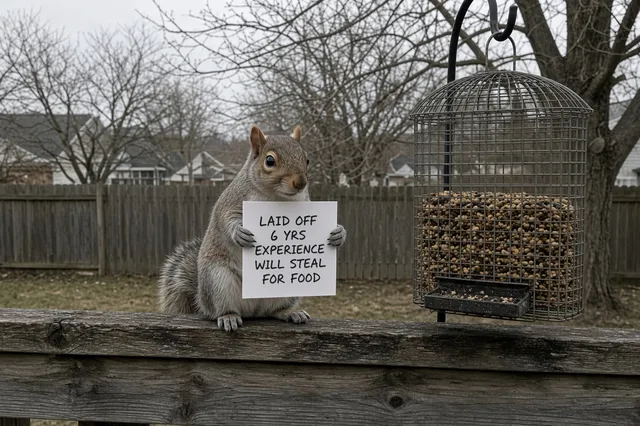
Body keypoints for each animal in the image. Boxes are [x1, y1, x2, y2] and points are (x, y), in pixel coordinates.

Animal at [157, 125, 347, 332]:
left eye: (307, 159)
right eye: (270, 161)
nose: (300, 183)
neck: (276, 197)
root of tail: (253, 310)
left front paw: (339, 233)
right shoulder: (230, 203)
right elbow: (226, 220)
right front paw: (239, 233)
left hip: (289, 288)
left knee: (273, 310)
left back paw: (289, 312)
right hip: (218, 280)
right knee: (220, 309)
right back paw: (228, 316)